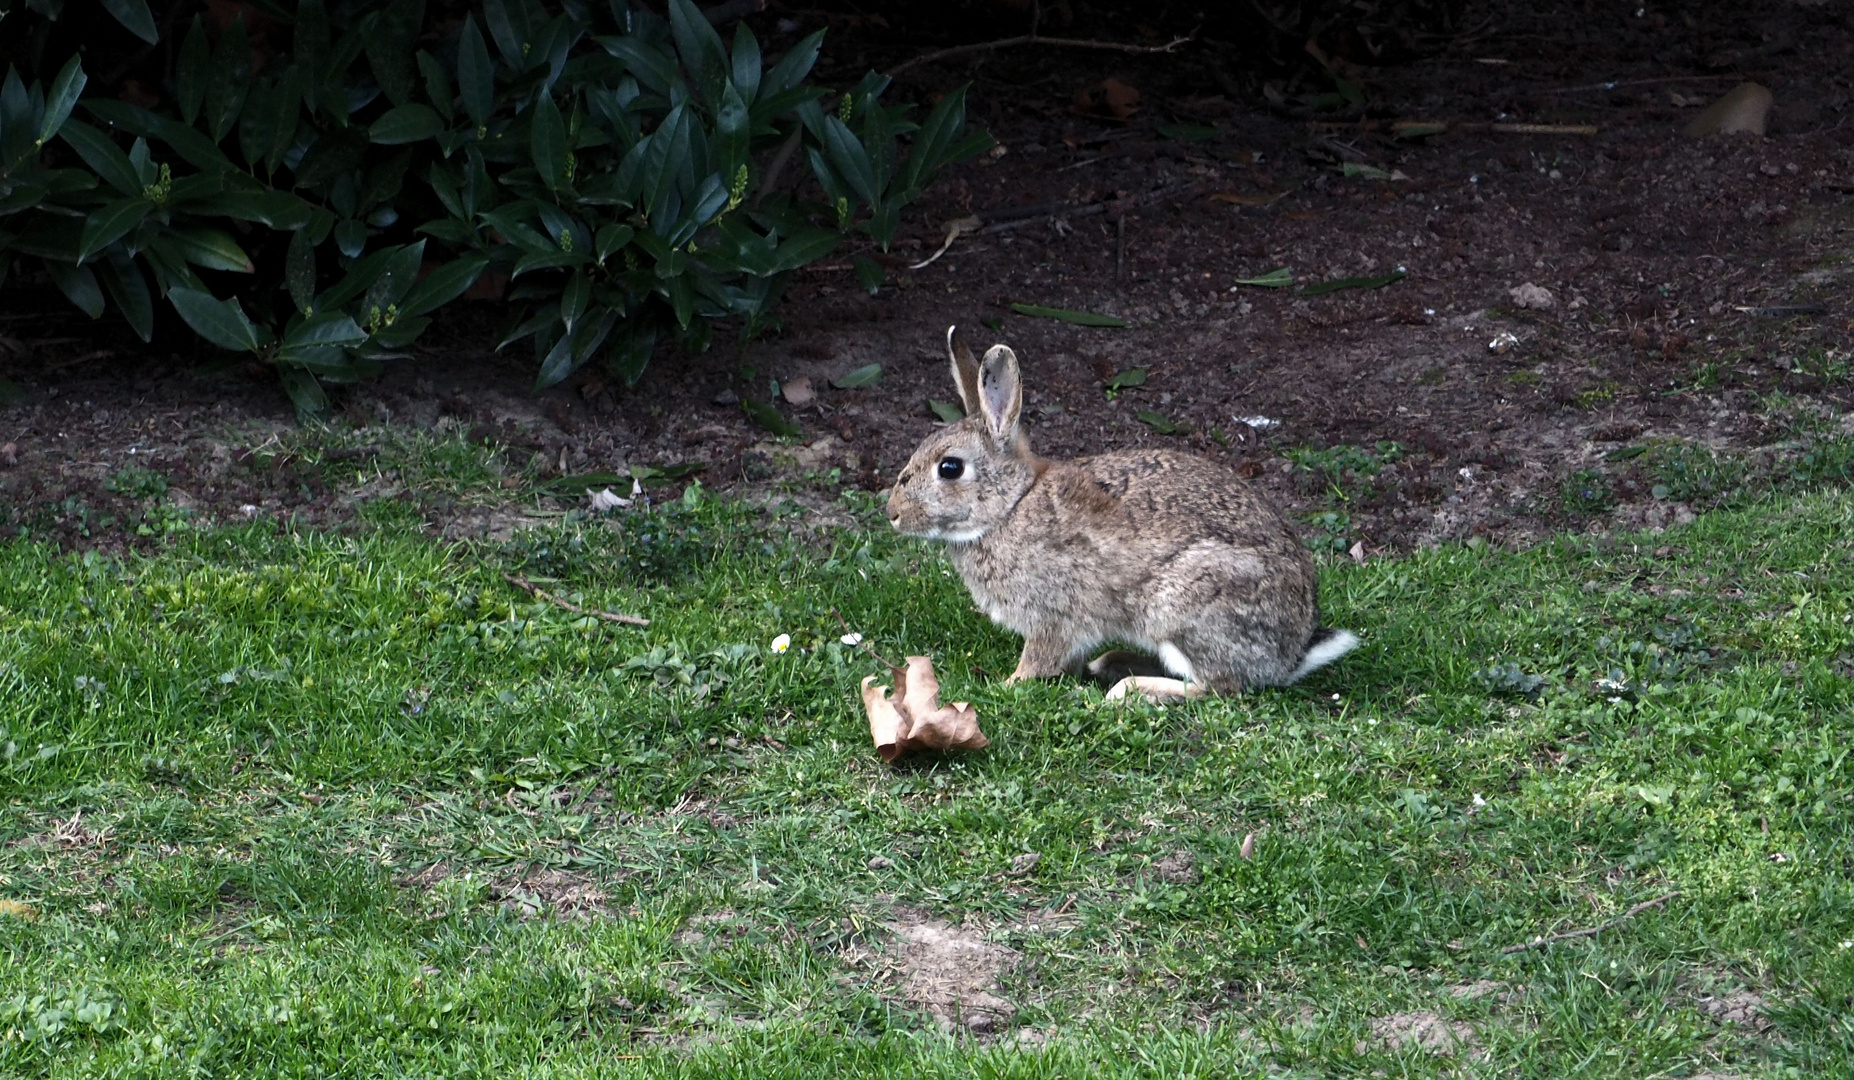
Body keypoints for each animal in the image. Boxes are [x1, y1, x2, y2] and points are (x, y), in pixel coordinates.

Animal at [889, 329, 1357, 700]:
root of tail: (1291, 654)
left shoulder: (1053, 615)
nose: (892, 513)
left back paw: (1130, 688)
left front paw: (1007, 684)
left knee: (1217, 686)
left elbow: (1038, 660)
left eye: (950, 468)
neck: (1011, 506)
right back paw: (1112, 663)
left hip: (1185, 606)